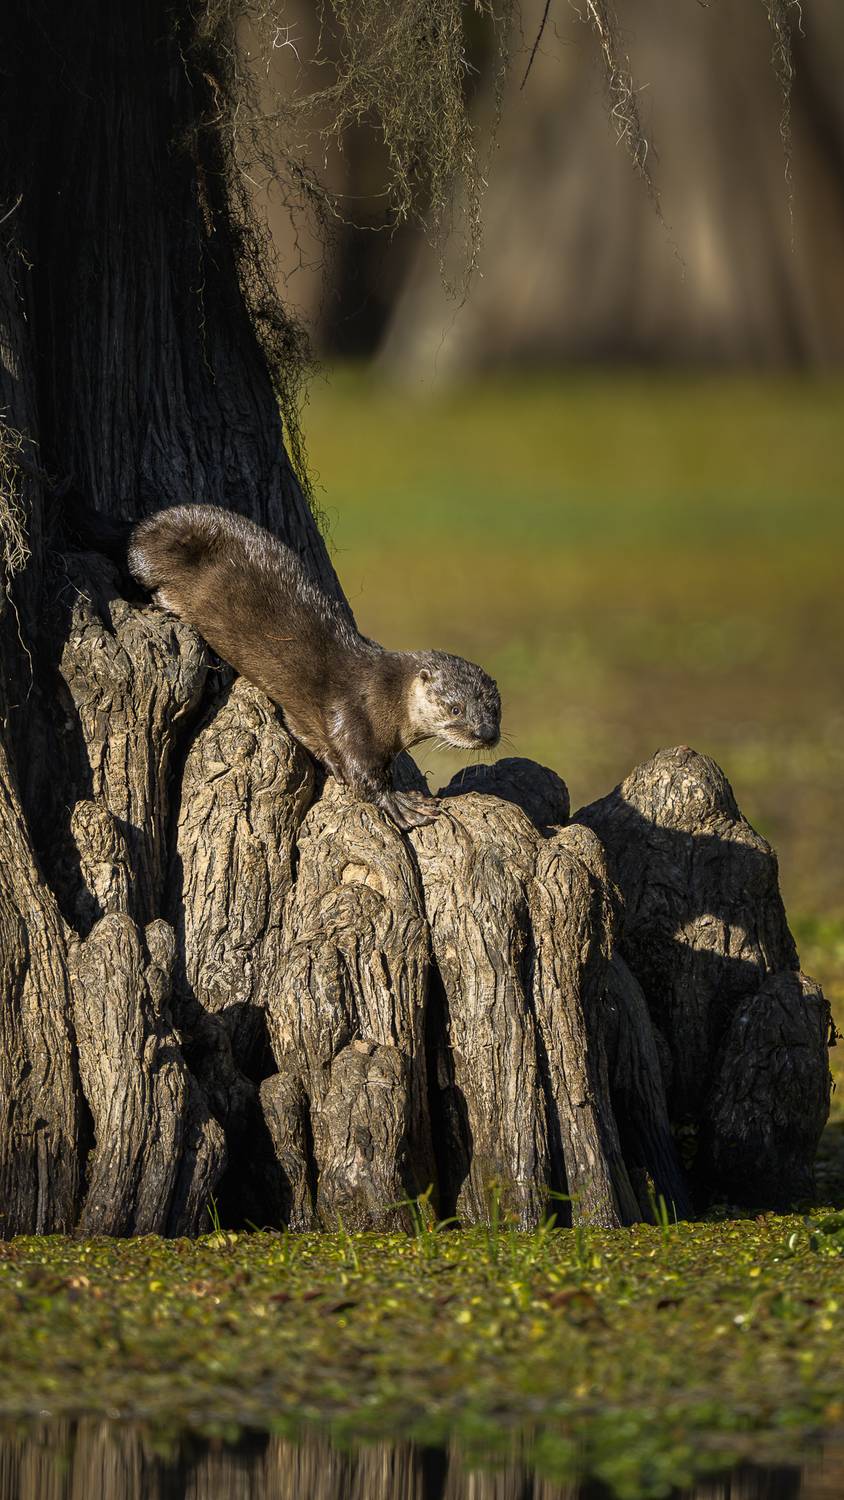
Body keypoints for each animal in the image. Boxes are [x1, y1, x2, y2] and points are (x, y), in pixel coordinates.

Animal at [127, 504, 501, 829]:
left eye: (495, 709)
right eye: (455, 708)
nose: (486, 733)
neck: (387, 696)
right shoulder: (353, 714)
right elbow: (361, 771)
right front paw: (401, 803)